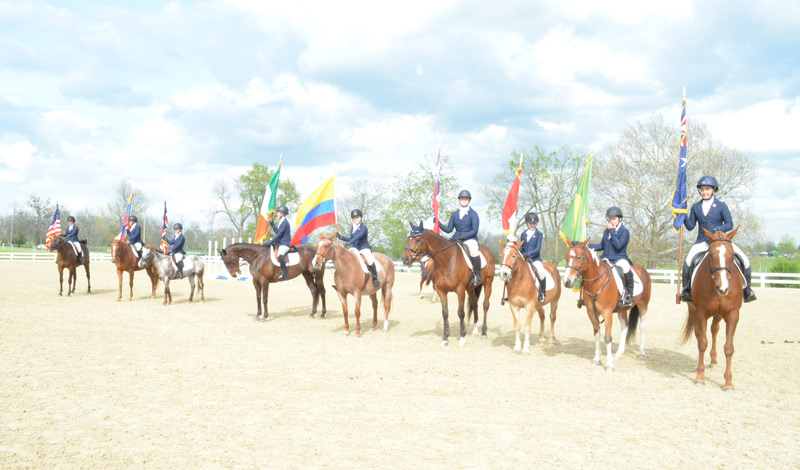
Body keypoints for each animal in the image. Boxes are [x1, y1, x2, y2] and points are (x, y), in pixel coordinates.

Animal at [564, 239, 648, 370]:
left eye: (579, 257)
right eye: (566, 257)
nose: (567, 281)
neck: (597, 281)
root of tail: (642, 269)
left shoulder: (607, 313)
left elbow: (608, 338)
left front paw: (609, 364)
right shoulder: (591, 312)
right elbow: (597, 334)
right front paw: (597, 359)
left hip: (643, 305)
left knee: (642, 326)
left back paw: (642, 352)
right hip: (622, 310)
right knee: (624, 327)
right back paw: (619, 353)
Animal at [680, 227, 744, 390]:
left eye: (732, 254)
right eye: (711, 254)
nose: (723, 288)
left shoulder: (733, 314)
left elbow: (729, 348)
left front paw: (728, 382)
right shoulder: (701, 313)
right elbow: (702, 342)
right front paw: (700, 376)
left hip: (718, 314)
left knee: (714, 330)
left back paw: (714, 362)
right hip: (694, 311)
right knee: (699, 335)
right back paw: (699, 365)